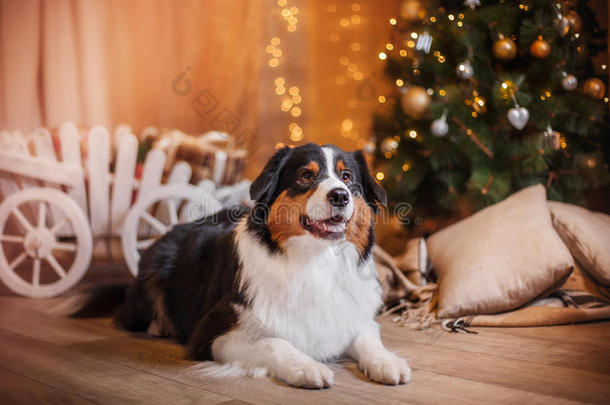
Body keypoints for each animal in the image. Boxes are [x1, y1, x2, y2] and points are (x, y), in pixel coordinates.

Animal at [114, 144, 408, 386]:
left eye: (347, 177)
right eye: (305, 176)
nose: (340, 196)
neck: (315, 259)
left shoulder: (355, 317)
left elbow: (367, 338)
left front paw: (387, 361)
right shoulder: (213, 335)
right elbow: (275, 343)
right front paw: (307, 367)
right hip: (155, 263)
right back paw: (159, 326)